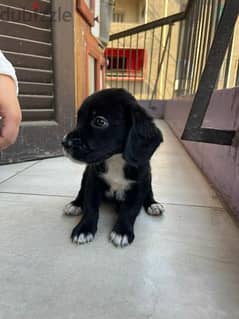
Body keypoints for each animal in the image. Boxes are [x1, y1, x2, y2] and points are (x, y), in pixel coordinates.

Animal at [61, 89, 164, 249]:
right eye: (78, 119)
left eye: (99, 121)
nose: (64, 142)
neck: (115, 160)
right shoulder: (93, 180)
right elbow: (90, 207)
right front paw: (84, 229)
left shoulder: (140, 185)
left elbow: (130, 210)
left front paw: (122, 232)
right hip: (85, 175)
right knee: (81, 192)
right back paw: (75, 204)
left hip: (149, 179)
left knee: (149, 193)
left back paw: (153, 204)